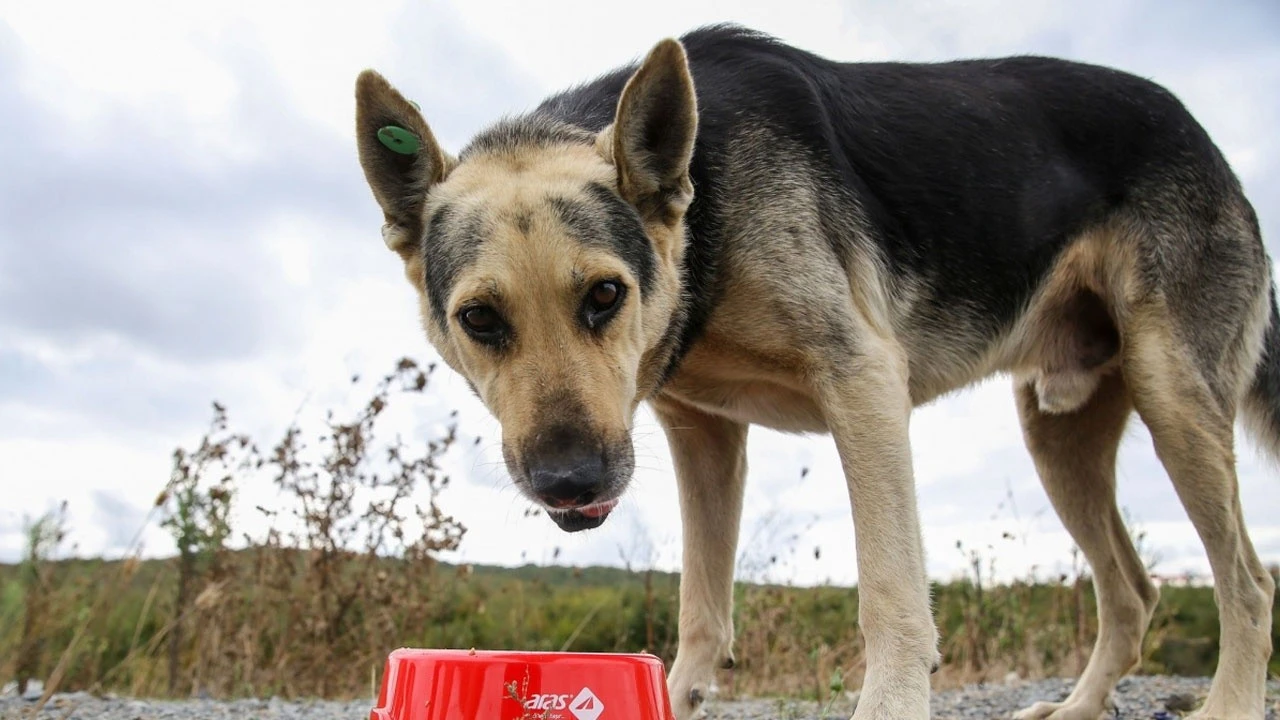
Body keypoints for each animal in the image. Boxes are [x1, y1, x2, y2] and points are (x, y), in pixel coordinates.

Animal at [353, 23, 1280, 717]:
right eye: (480, 319)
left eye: (604, 295)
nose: (569, 482)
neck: (703, 210)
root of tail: (1203, 138)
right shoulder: (702, 437)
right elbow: (701, 604)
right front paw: (679, 698)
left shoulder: (863, 384)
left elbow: (891, 593)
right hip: (1059, 434)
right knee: (1134, 592)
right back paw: (1081, 706)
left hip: (1173, 397)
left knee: (1247, 580)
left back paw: (1228, 706)